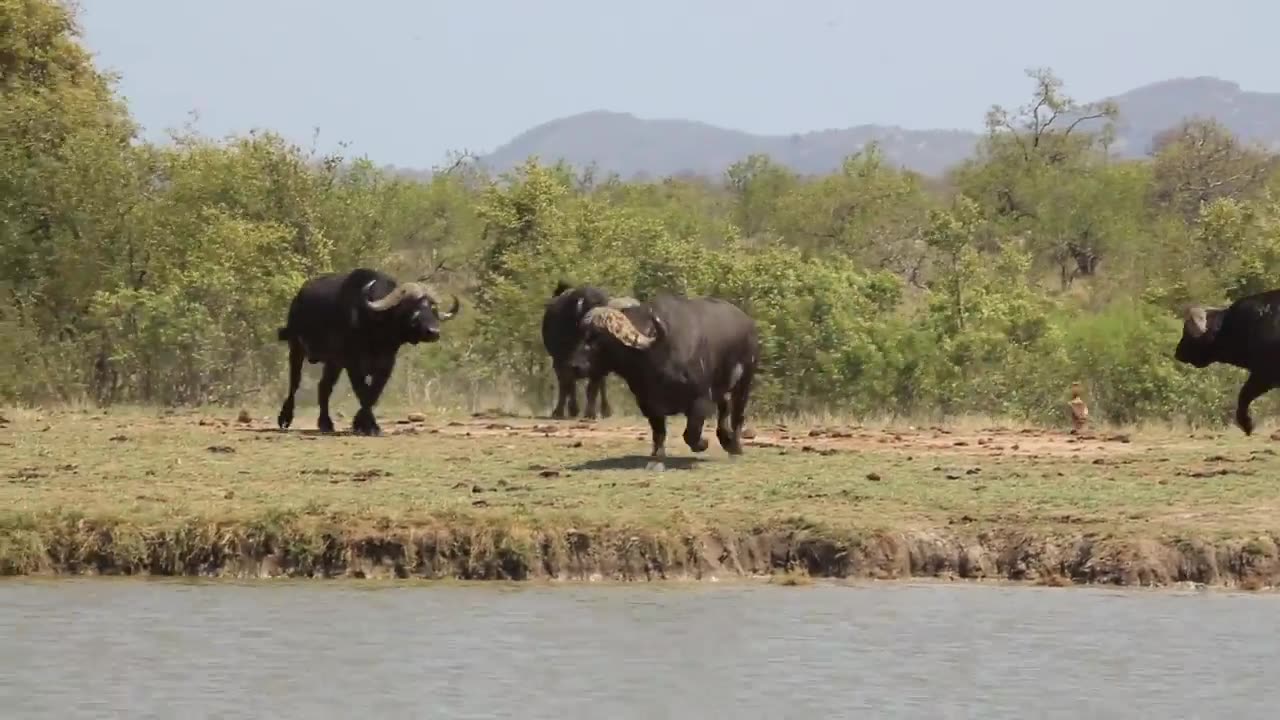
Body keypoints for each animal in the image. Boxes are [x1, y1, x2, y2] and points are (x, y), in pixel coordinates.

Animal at [275, 266, 460, 435]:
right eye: (411, 307)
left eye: (432, 308)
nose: (433, 332)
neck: (374, 330)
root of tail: (298, 299)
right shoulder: (353, 364)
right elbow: (363, 392)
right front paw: (368, 426)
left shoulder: (386, 364)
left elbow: (373, 393)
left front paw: (362, 424)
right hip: (296, 348)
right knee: (295, 383)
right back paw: (285, 418)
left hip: (333, 362)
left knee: (324, 386)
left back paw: (325, 423)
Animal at [565, 288, 752, 468]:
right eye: (581, 334)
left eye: (597, 338)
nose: (574, 366)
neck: (656, 354)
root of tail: (747, 323)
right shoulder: (648, 403)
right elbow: (659, 431)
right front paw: (657, 457)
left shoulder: (701, 399)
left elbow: (691, 433)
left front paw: (703, 443)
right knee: (725, 409)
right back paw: (727, 440)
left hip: (744, 383)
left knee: (737, 416)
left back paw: (735, 447)